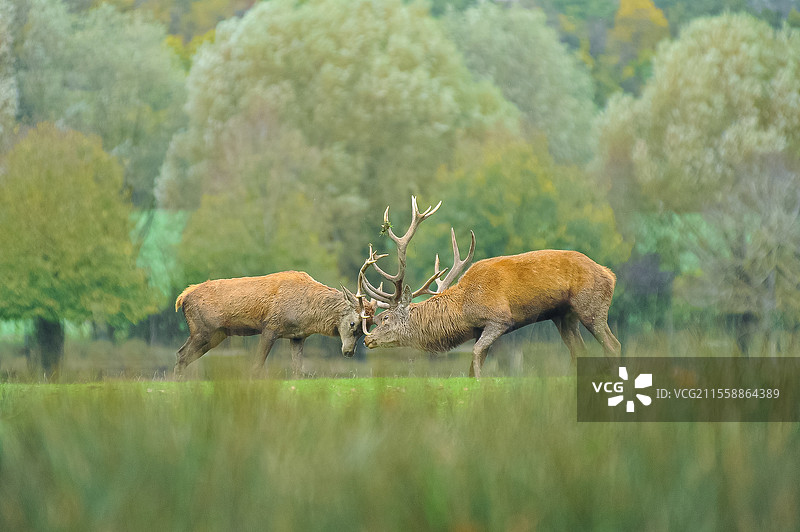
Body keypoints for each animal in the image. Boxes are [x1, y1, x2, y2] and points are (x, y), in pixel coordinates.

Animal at [174, 271, 375, 377]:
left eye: (365, 330)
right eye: (353, 324)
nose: (349, 352)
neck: (308, 314)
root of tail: (182, 298)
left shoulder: (298, 336)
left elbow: (298, 369)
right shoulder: (270, 326)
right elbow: (257, 364)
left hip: (216, 335)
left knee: (184, 356)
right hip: (203, 330)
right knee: (182, 355)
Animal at [358, 196, 621, 378]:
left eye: (385, 318)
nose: (367, 340)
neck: (463, 308)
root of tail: (610, 274)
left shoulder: (499, 319)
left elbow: (476, 354)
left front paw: (480, 382)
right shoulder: (478, 328)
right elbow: (477, 357)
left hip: (591, 307)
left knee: (613, 344)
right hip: (564, 316)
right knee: (579, 349)